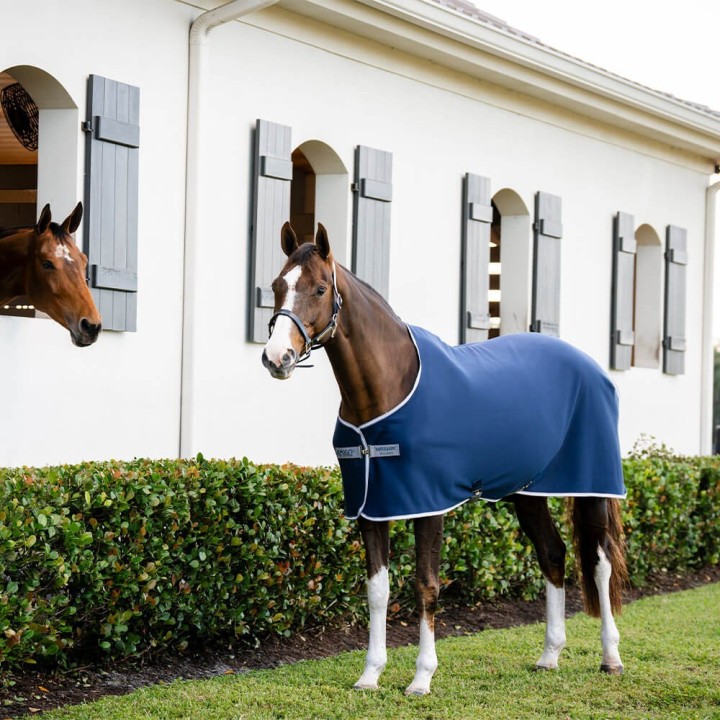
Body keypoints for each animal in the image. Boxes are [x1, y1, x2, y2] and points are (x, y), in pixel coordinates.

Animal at [262, 222, 628, 696]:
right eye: (277, 285)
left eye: (321, 288)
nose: (277, 358)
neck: (389, 386)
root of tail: (592, 367)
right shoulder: (371, 506)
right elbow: (377, 590)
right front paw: (370, 674)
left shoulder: (427, 503)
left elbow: (426, 586)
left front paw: (421, 677)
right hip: (528, 493)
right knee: (553, 554)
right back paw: (549, 656)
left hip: (593, 486)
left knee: (600, 563)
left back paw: (611, 657)